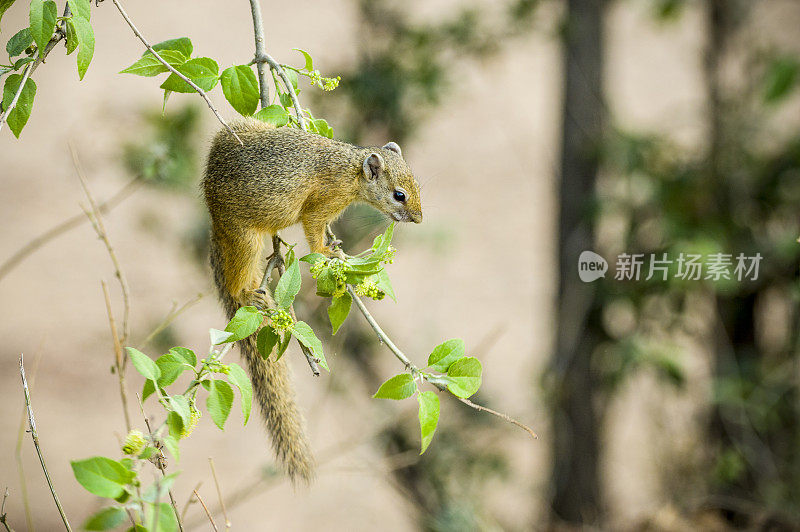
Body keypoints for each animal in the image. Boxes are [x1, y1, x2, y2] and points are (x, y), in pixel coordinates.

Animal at [203, 118, 422, 484]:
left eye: (418, 185)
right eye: (399, 195)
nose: (419, 219)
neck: (350, 168)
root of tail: (210, 204)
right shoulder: (320, 206)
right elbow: (315, 233)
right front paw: (330, 253)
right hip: (245, 238)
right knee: (236, 284)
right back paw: (251, 295)